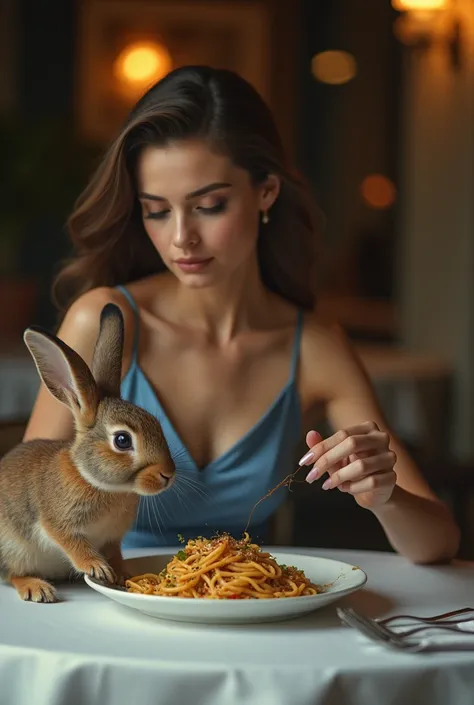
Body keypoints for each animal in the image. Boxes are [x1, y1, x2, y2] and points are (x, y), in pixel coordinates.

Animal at [0, 300, 176, 604]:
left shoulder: (112, 538)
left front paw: (121, 575)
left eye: (156, 424)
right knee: (13, 574)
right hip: (12, 548)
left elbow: (115, 553)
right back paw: (37, 588)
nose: (168, 474)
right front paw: (98, 568)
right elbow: (72, 543)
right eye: (122, 440)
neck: (95, 481)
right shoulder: (57, 523)